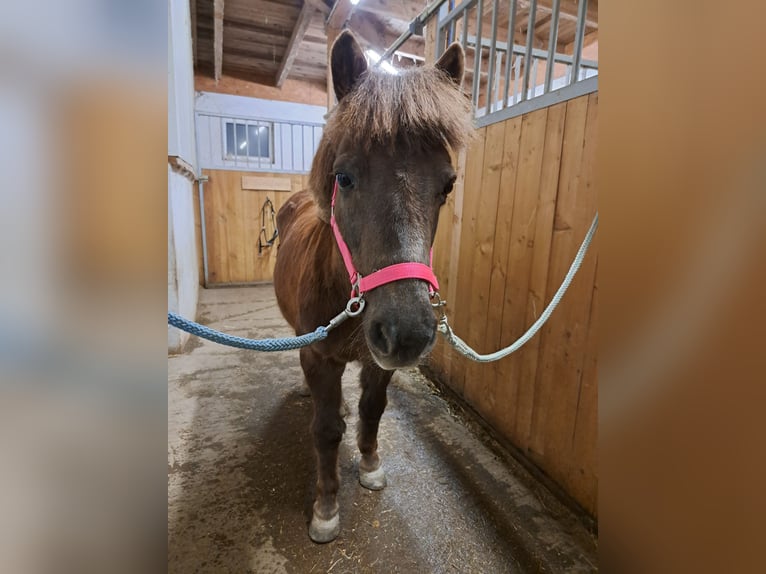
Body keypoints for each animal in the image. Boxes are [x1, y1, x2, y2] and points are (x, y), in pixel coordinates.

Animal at [272, 31, 472, 544]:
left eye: (447, 186)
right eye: (344, 176)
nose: (407, 332)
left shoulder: (379, 364)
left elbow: (372, 409)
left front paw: (370, 465)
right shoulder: (317, 356)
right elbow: (325, 430)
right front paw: (325, 508)